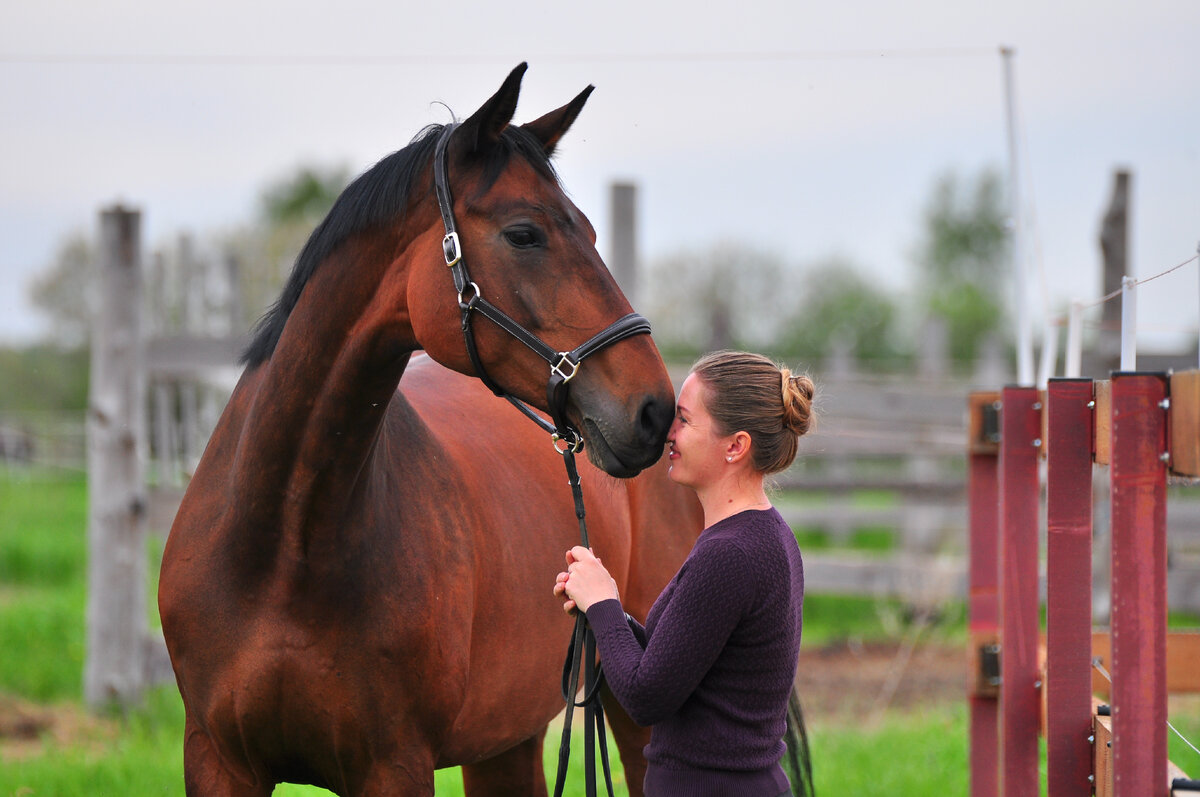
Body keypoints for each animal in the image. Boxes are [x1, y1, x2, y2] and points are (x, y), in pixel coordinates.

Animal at [159, 63, 705, 797]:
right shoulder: (218, 759)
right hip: (506, 740)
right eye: (524, 233)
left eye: (592, 233)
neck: (282, 544)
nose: (654, 409)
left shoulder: (395, 765)